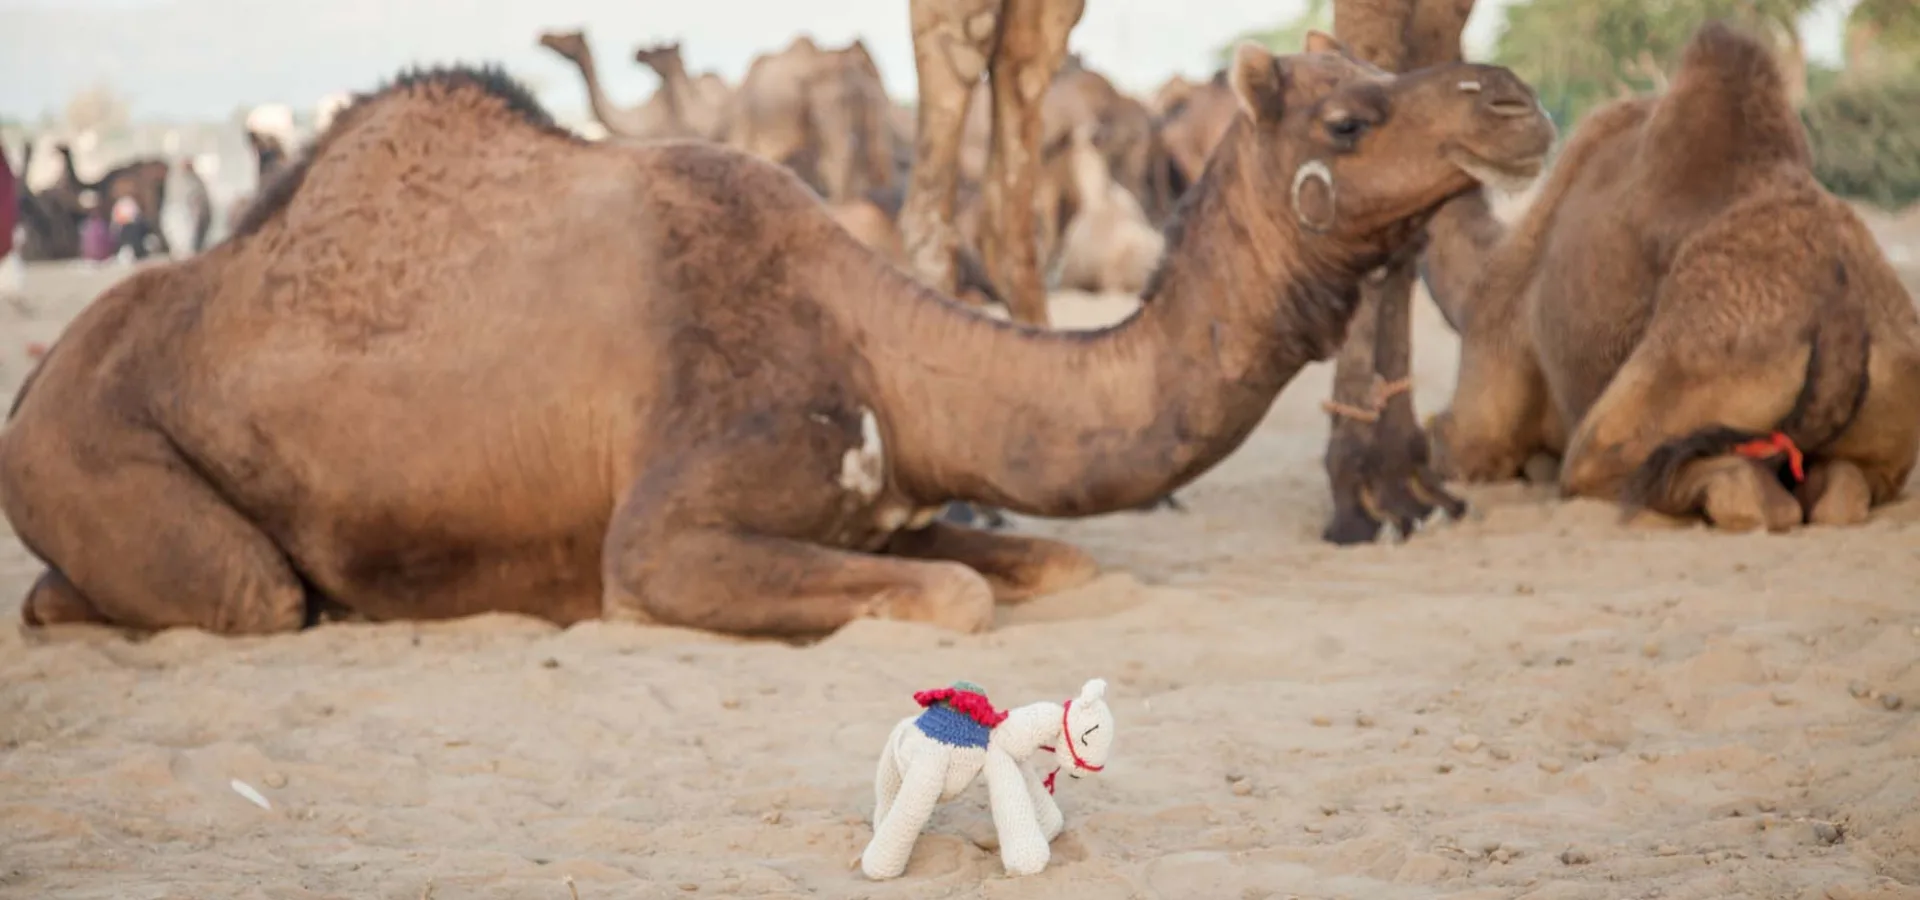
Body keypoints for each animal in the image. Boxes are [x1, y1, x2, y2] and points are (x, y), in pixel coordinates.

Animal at [0, 46, 1552, 637]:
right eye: (1349, 113)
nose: (1519, 101)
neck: (873, 342)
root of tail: (36, 384)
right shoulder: (667, 532)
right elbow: (955, 601)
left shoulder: (883, 499)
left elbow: (1052, 562)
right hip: (96, 462)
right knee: (245, 594)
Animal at [1424, 21, 1920, 531]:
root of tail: (1841, 318)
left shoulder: (1485, 392)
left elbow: (1448, 439)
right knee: (1843, 486)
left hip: (1698, 358)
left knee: (1618, 464)